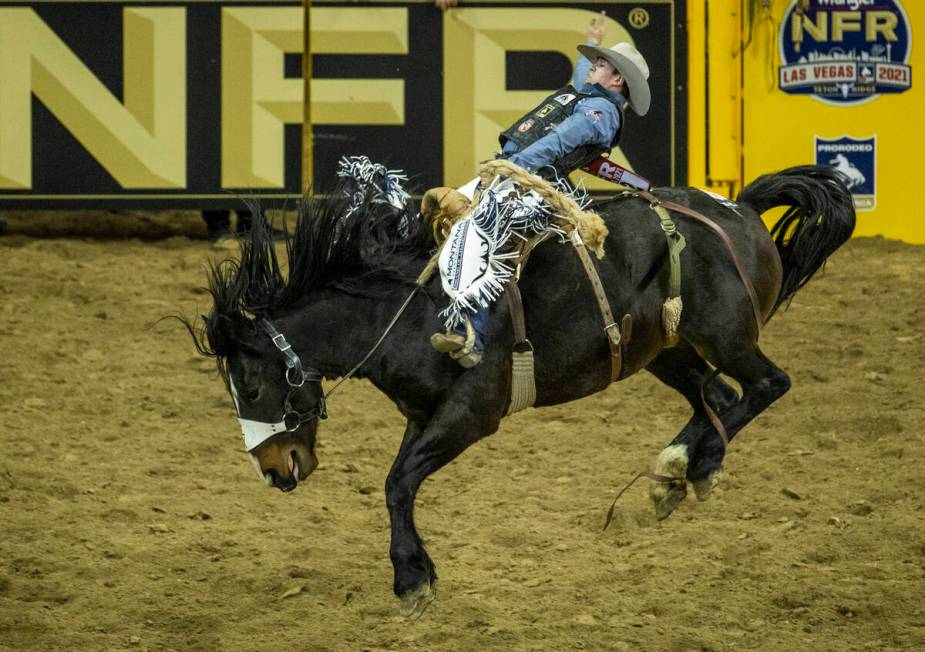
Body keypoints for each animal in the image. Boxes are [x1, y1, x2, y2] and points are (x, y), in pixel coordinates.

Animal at [184, 163, 856, 616]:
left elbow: (397, 482)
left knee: (767, 384)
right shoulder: (422, 414)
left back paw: (693, 463)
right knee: (717, 398)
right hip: (663, 351)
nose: (274, 469)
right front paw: (415, 572)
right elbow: (399, 482)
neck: (402, 310)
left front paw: (411, 580)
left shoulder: (473, 411)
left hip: (727, 336)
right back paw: (677, 472)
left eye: (250, 384)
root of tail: (738, 210)